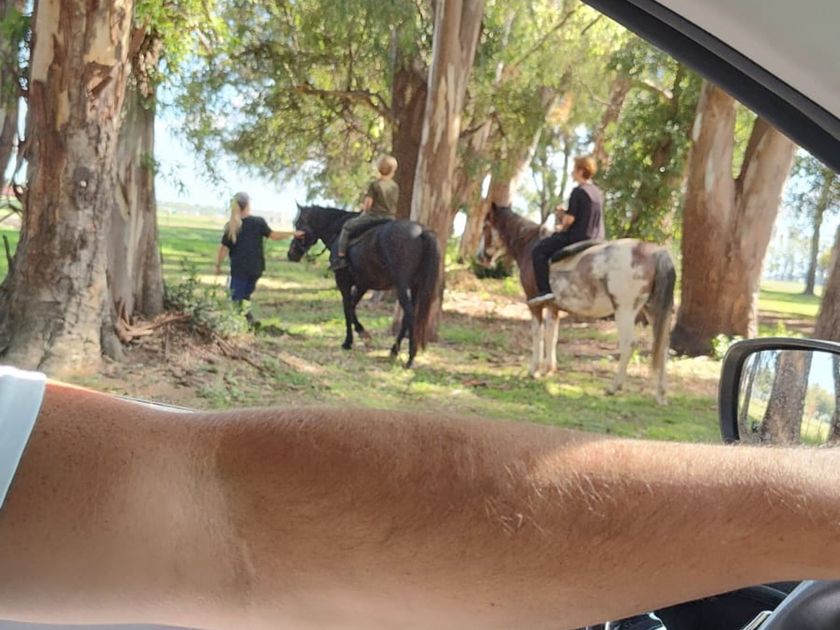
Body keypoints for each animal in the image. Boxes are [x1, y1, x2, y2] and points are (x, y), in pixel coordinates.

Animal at [287, 204, 440, 368]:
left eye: (298, 224)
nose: (291, 254)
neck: (337, 230)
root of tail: (421, 231)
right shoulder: (363, 285)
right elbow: (352, 306)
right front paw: (363, 334)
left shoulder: (343, 282)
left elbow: (347, 308)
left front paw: (349, 341)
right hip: (415, 287)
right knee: (407, 316)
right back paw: (394, 351)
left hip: (401, 286)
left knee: (410, 314)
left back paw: (410, 357)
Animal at [476, 202, 675, 405]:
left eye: (485, 226)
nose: (480, 257)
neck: (529, 245)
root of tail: (655, 252)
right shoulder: (553, 307)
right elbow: (551, 336)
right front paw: (549, 370)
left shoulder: (534, 305)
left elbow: (537, 334)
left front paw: (534, 370)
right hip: (652, 311)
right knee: (663, 345)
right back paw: (661, 395)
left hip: (624, 311)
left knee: (629, 344)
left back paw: (614, 387)